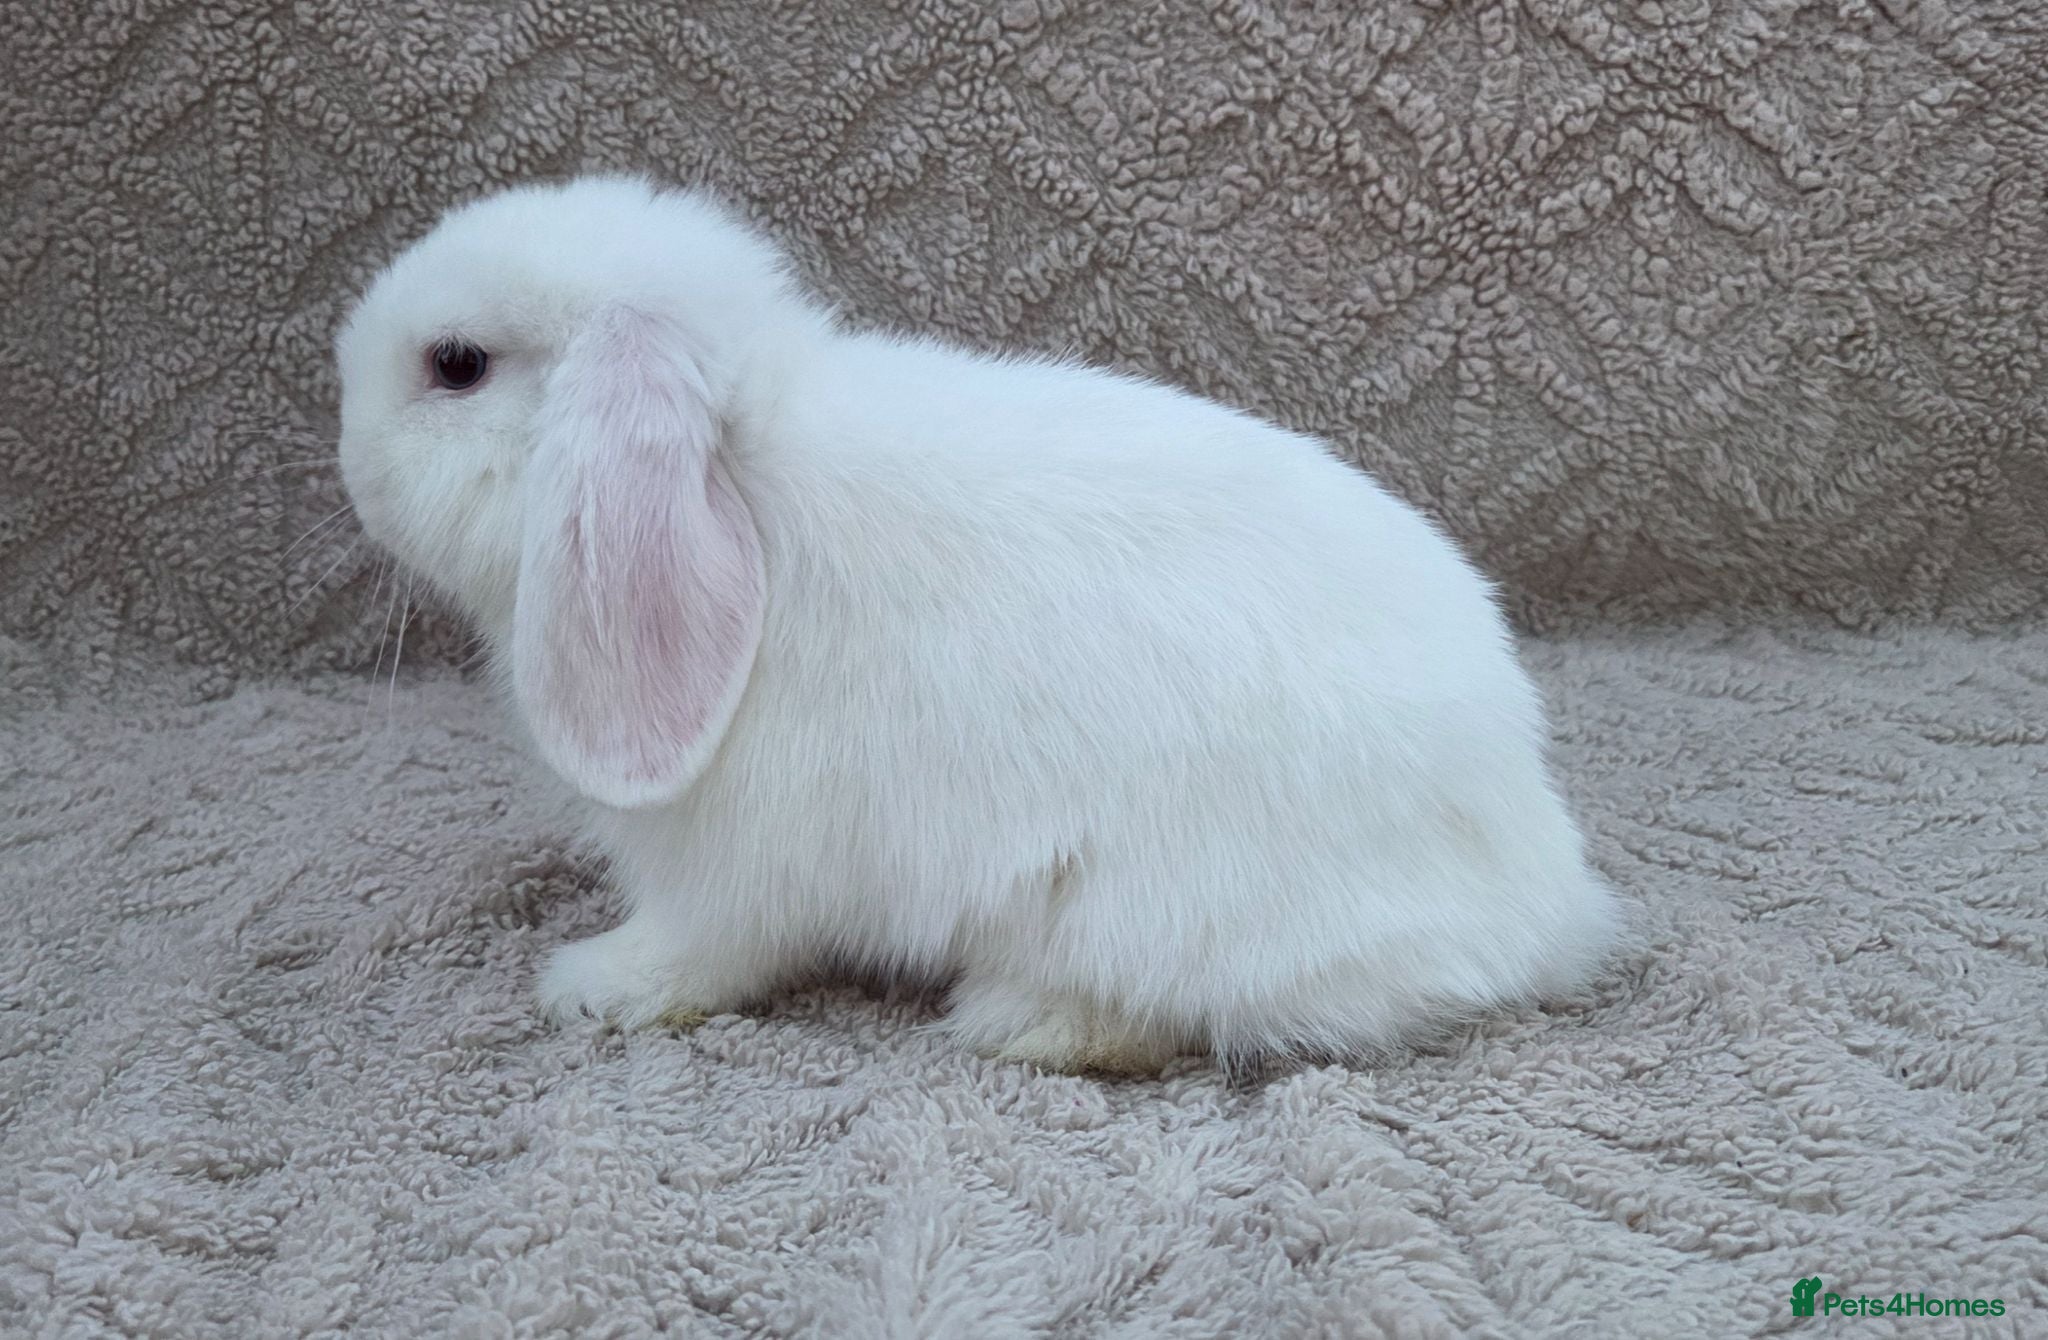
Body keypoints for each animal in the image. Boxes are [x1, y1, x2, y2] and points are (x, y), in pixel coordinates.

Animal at [334, 175, 1622, 1074]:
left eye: (456, 364)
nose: (349, 467)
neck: (743, 480)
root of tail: (1542, 900)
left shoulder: (729, 868)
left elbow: (702, 948)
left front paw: (592, 984)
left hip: (1169, 915)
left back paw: (1027, 1019)